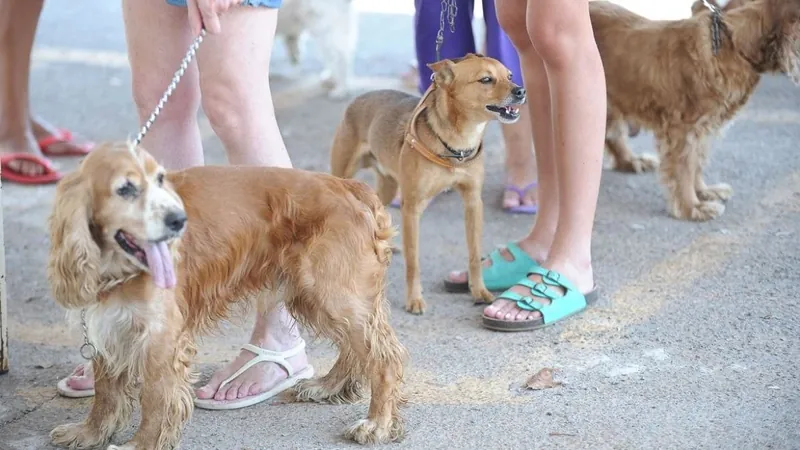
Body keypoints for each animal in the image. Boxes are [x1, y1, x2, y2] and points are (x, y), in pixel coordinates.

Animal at [44, 142, 406, 448]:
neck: (117, 267)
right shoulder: (109, 325)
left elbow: (155, 399)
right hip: (317, 295)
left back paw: (377, 424)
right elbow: (105, 393)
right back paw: (328, 386)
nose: (179, 220)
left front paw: (142, 444)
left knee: (384, 357)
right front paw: (89, 433)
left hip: (332, 293)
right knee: (355, 348)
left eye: (160, 180)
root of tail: (348, 186)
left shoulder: (160, 338)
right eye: (126, 189)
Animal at [326, 54, 524, 314]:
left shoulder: (472, 202)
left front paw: (479, 291)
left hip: (388, 187)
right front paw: (414, 299)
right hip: (344, 175)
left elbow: (474, 254)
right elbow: (413, 261)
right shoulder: (412, 209)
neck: (457, 144)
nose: (521, 90)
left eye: (509, 75)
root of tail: (358, 98)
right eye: (486, 80)